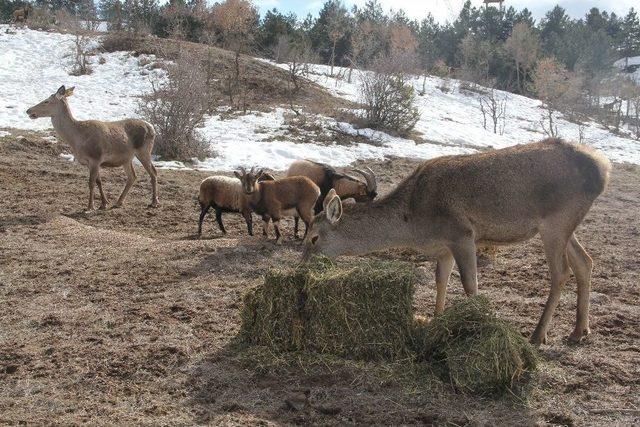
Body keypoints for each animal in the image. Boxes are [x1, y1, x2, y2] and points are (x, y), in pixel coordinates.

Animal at [26, 86, 159, 212]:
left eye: (46, 101)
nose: (28, 110)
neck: (76, 140)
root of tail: (152, 128)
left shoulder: (95, 157)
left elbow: (91, 182)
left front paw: (90, 206)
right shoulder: (91, 161)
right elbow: (98, 181)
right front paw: (104, 204)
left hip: (144, 150)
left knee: (153, 172)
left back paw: (154, 202)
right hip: (127, 158)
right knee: (132, 176)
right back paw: (119, 202)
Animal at [302, 139, 612, 346]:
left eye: (314, 237)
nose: (302, 266)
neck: (413, 221)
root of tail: (603, 168)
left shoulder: (461, 233)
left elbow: (469, 285)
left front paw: (482, 326)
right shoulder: (443, 247)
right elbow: (441, 280)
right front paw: (435, 320)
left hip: (556, 222)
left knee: (561, 272)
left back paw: (537, 336)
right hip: (566, 226)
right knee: (585, 262)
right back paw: (579, 331)